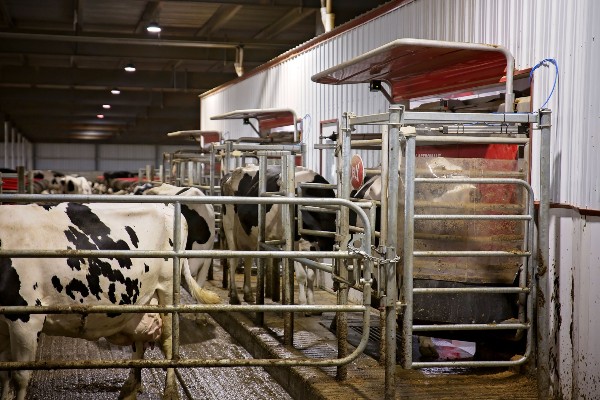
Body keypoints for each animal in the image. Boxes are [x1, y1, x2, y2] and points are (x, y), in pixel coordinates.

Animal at [0, 203, 220, 400]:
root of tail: (169, 208)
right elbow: (4, 371)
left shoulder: (27, 317)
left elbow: (20, 375)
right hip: (140, 301)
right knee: (139, 342)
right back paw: (130, 389)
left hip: (168, 291)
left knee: (169, 341)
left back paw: (170, 392)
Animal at [221, 164, 338, 308]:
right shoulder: (296, 244)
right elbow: (301, 275)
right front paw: (302, 303)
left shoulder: (313, 246)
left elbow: (311, 275)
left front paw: (311, 303)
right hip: (229, 224)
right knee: (233, 258)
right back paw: (234, 297)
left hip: (248, 232)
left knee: (248, 256)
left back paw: (248, 294)